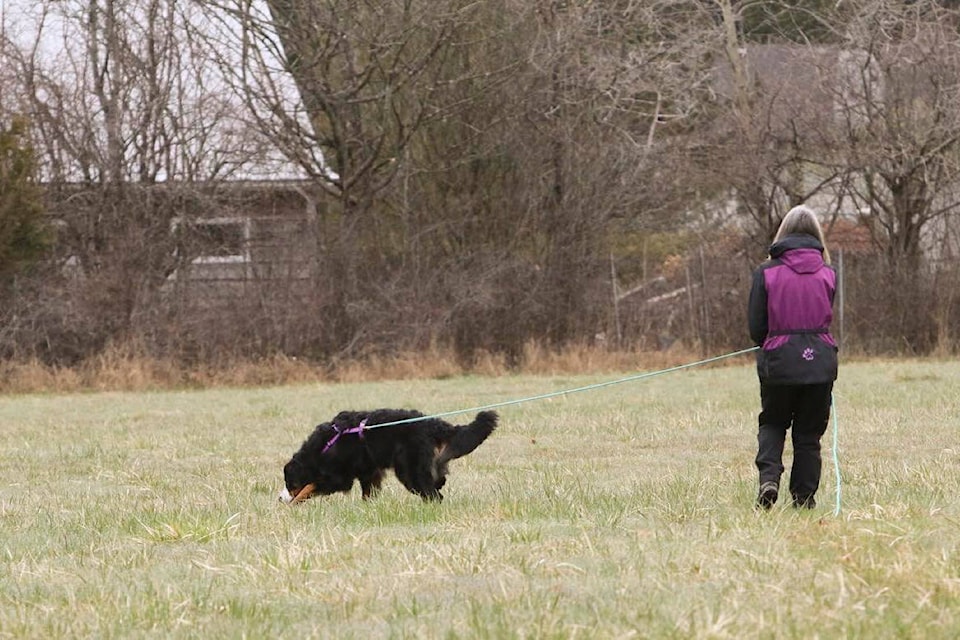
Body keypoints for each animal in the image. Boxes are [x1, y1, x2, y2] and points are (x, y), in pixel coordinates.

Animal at [278, 410, 498, 504]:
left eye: (290, 483)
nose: (280, 498)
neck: (323, 447)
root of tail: (433, 424)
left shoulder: (339, 477)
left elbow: (309, 487)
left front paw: (293, 503)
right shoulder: (369, 472)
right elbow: (368, 492)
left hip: (409, 470)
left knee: (432, 494)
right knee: (437, 484)